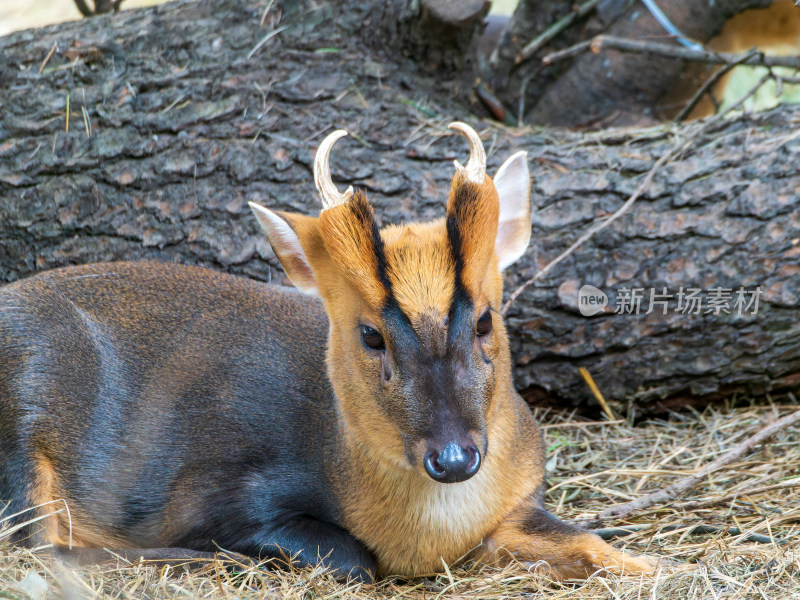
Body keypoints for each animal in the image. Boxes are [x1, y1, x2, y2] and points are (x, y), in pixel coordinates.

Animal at [0, 123, 660, 580]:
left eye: (484, 319)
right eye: (369, 334)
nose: (453, 458)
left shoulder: (520, 501)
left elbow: (585, 541)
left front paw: (653, 567)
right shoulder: (221, 493)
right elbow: (353, 558)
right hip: (23, 416)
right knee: (41, 549)